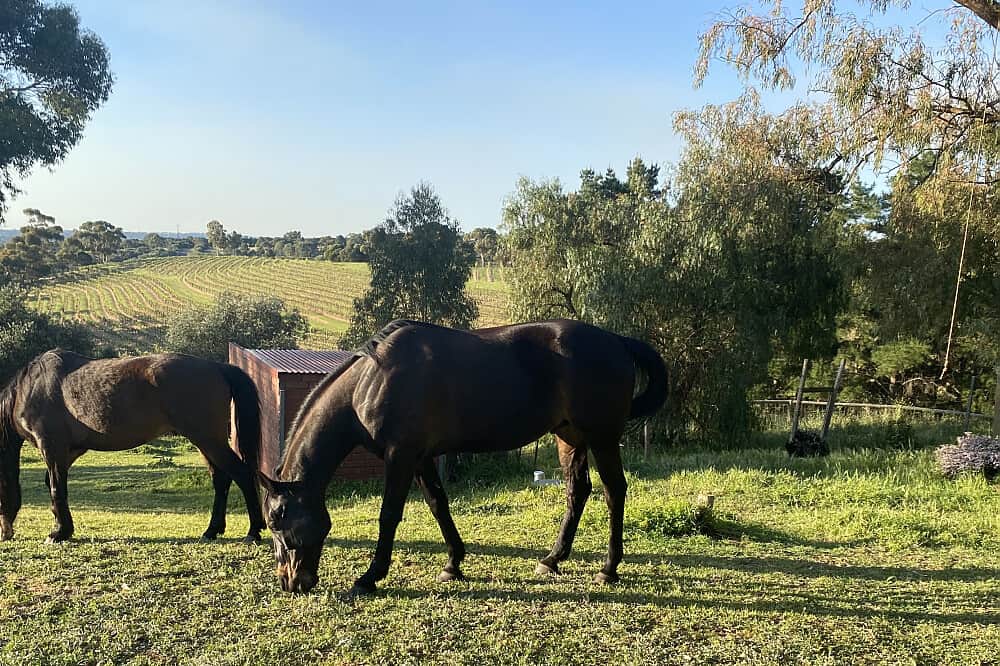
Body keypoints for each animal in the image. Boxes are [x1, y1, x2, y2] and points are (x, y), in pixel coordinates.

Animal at [0, 350, 266, 543]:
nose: (5, 534)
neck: (30, 388)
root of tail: (217, 367)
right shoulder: (70, 451)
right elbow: (54, 485)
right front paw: (64, 528)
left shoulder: (52, 446)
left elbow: (57, 488)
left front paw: (58, 533)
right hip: (205, 442)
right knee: (221, 479)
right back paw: (212, 530)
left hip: (208, 439)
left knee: (241, 474)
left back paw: (253, 531)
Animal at [259, 318, 668, 595]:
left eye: (278, 518)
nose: (291, 582)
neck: (372, 381)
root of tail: (616, 341)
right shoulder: (421, 458)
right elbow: (438, 505)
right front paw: (453, 563)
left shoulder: (401, 456)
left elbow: (389, 515)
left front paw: (370, 577)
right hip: (568, 437)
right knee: (577, 491)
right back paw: (552, 559)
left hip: (601, 437)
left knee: (614, 491)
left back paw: (609, 568)